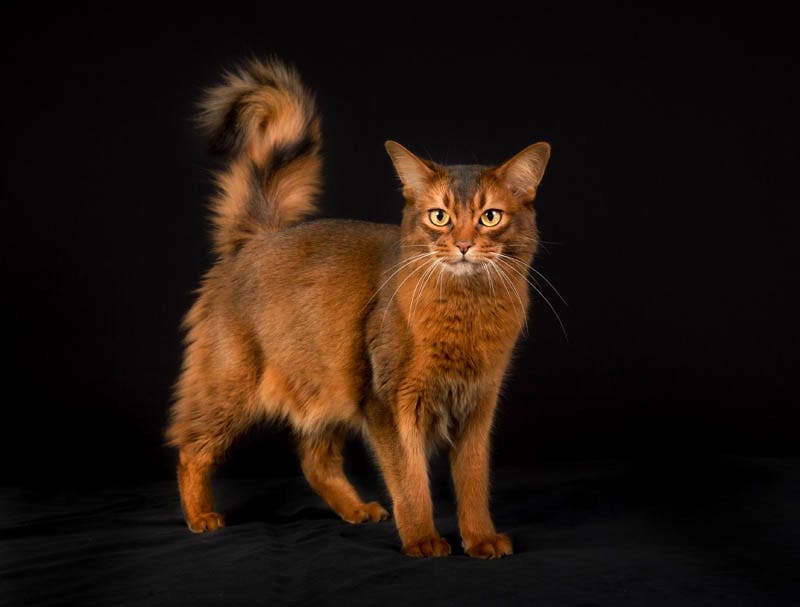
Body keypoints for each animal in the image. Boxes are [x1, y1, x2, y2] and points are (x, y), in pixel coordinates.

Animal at [162, 58, 552, 560]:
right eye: (439, 217)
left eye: (490, 217)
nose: (464, 245)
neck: (466, 309)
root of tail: (256, 239)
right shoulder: (389, 402)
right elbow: (410, 480)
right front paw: (423, 539)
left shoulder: (478, 406)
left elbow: (473, 481)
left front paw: (480, 538)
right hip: (230, 383)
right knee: (189, 448)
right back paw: (200, 516)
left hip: (325, 382)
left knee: (314, 459)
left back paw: (356, 509)